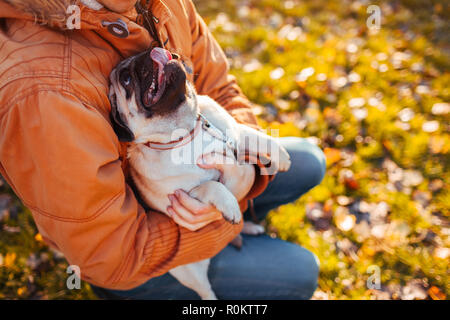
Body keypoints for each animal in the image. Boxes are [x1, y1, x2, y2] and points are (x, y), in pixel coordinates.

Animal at [109, 47, 292, 300]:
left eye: (144, 52)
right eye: (126, 79)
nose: (149, 52)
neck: (186, 130)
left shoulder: (233, 133)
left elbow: (255, 136)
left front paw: (281, 155)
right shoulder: (187, 195)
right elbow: (212, 186)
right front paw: (230, 205)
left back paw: (250, 226)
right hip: (190, 273)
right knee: (206, 290)